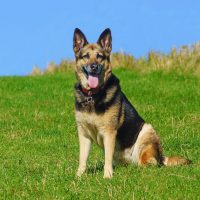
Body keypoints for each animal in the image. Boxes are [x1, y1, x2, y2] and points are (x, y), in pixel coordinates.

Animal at [72, 27, 190, 178]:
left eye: (100, 56)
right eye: (86, 56)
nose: (94, 67)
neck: (93, 95)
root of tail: (161, 156)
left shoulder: (109, 132)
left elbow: (107, 158)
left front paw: (107, 176)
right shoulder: (84, 133)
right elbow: (82, 158)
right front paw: (79, 176)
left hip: (146, 131)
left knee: (150, 163)